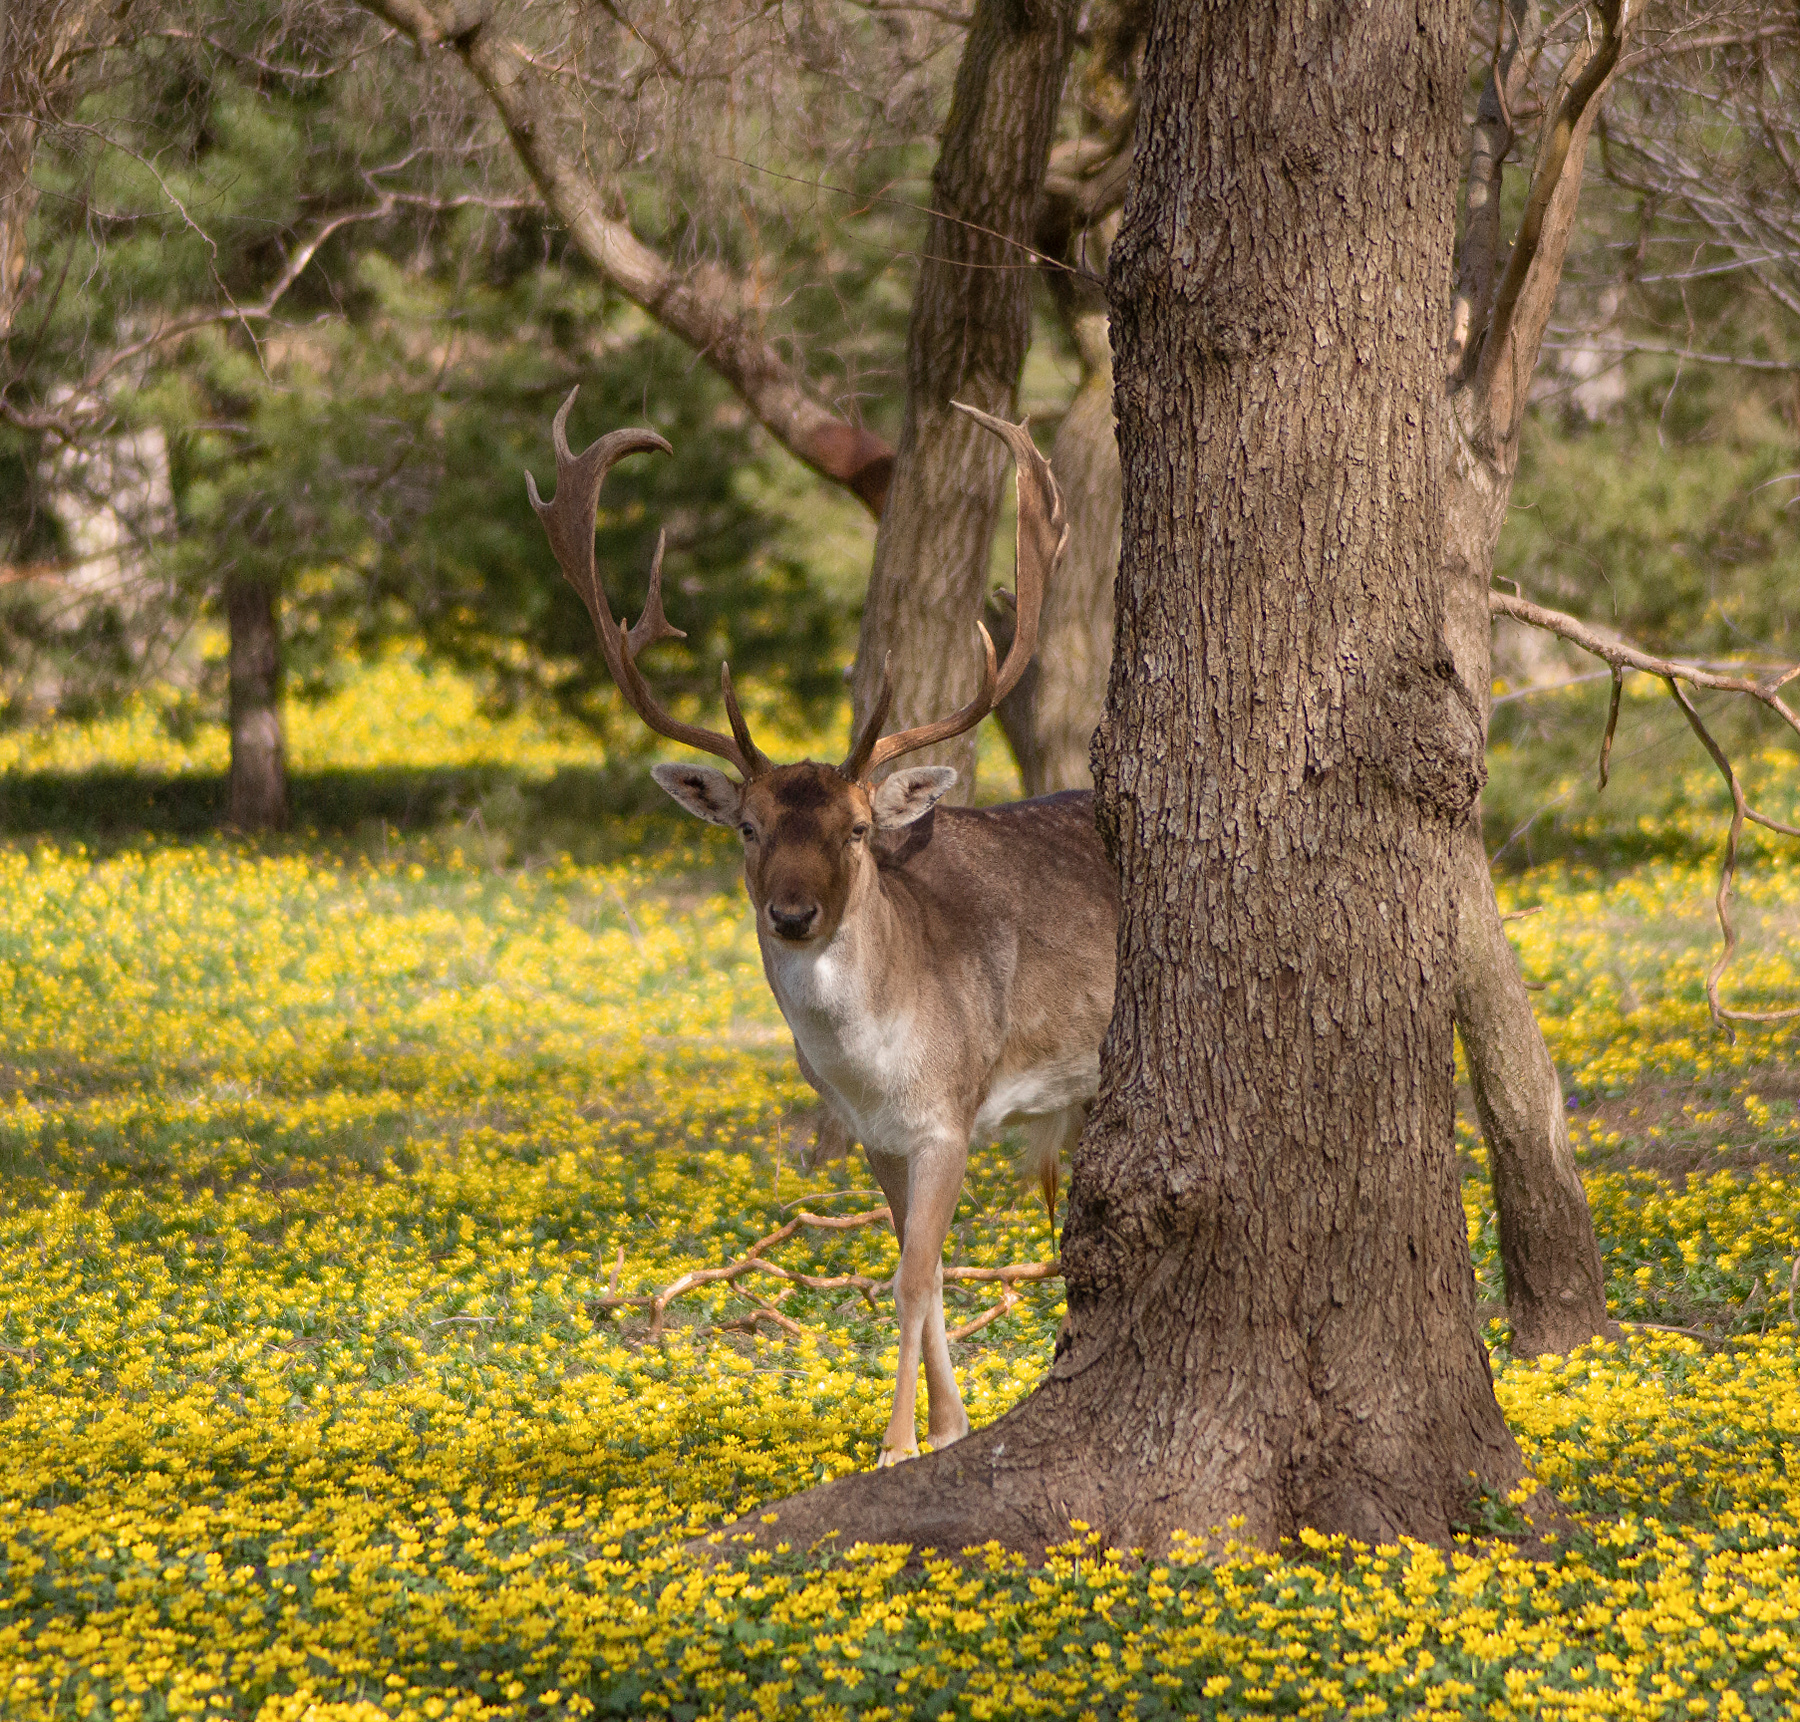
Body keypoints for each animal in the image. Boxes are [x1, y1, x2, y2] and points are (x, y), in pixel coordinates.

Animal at [528, 390, 1118, 1465]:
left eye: (855, 827)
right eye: (749, 828)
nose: (793, 912)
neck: (875, 1063)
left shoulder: (948, 1113)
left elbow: (914, 1278)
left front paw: (898, 1445)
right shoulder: (877, 1137)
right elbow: (921, 1274)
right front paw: (952, 1427)